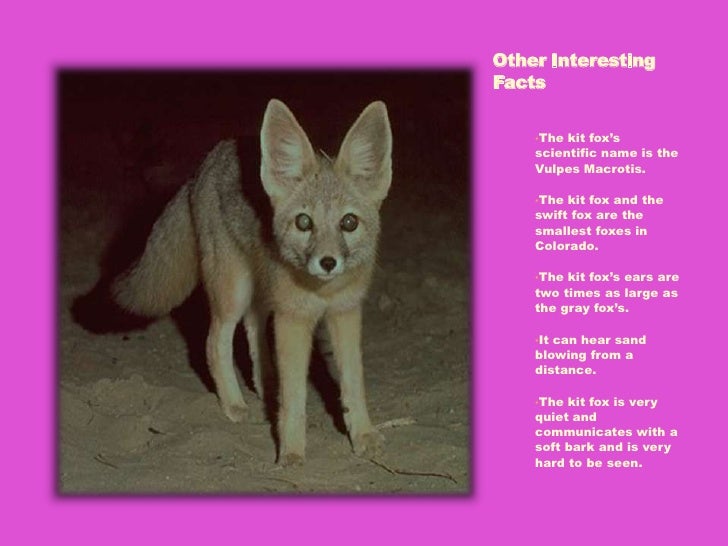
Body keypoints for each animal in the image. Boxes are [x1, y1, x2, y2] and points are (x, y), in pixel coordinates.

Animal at [111, 99, 392, 465]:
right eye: (304, 222)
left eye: (349, 222)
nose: (328, 262)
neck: (323, 292)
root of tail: (204, 164)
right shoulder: (293, 319)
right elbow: (295, 397)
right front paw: (291, 452)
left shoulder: (345, 313)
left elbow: (353, 384)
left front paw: (363, 435)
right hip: (234, 292)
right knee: (214, 342)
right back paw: (233, 403)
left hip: (259, 291)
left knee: (253, 328)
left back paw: (265, 383)